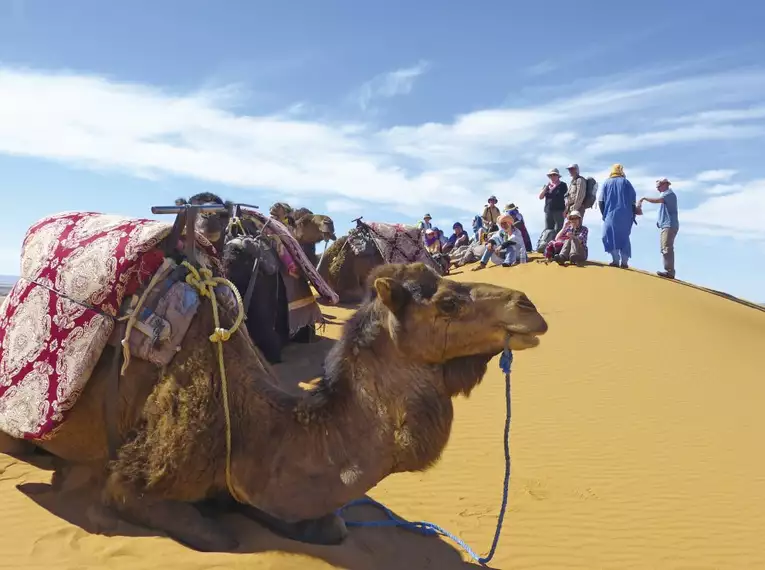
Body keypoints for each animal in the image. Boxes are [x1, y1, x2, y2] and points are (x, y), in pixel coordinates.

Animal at [1, 260, 548, 552]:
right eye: (447, 304)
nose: (529, 306)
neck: (252, 426)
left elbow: (331, 524)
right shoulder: (132, 481)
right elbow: (216, 537)